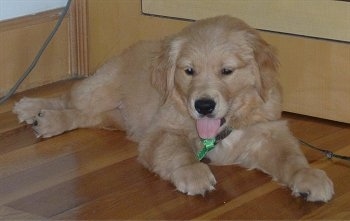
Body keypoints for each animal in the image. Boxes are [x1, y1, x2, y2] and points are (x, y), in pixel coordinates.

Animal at [13, 15, 334, 202]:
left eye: (227, 71)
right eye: (189, 71)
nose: (203, 106)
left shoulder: (267, 132)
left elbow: (289, 157)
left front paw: (308, 177)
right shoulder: (161, 130)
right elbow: (178, 151)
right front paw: (193, 172)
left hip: (113, 114)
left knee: (86, 115)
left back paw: (45, 119)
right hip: (100, 89)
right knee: (69, 98)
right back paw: (35, 111)